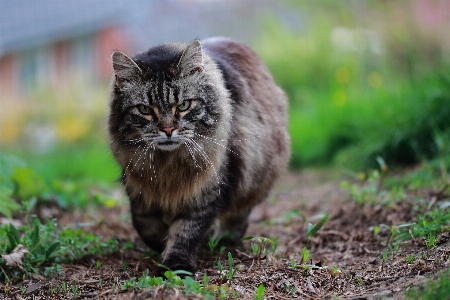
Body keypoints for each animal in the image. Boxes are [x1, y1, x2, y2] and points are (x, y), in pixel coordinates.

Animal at [109, 37, 292, 274]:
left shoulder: (207, 191)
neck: (167, 165)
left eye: (184, 105)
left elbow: (186, 232)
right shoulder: (138, 188)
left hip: (255, 178)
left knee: (239, 217)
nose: (168, 130)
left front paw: (175, 265)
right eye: (145, 110)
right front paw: (161, 243)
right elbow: (145, 225)